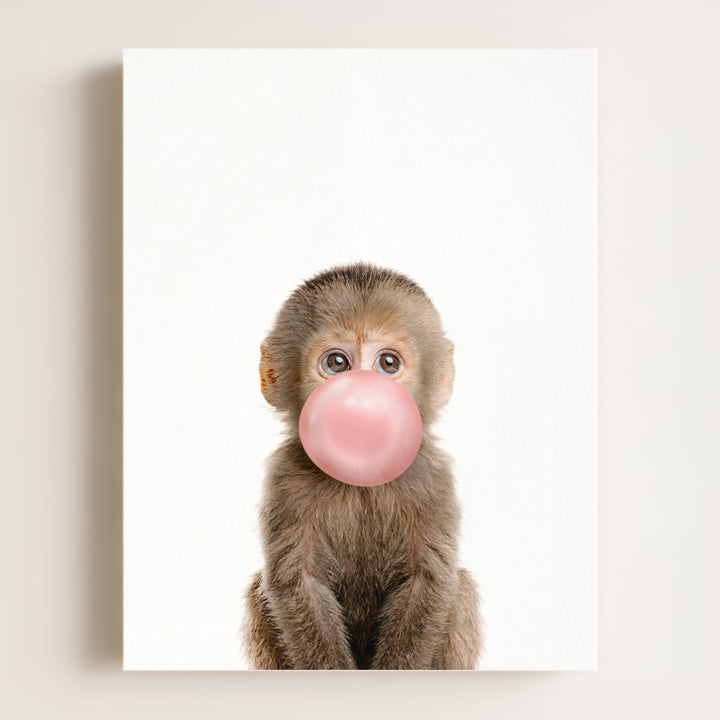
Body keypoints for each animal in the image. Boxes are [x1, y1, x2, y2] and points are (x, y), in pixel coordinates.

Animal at [243, 262, 482, 670]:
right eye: (337, 363)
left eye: (388, 363)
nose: (362, 397)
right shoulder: (286, 478)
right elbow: (298, 582)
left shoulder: (432, 477)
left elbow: (427, 580)